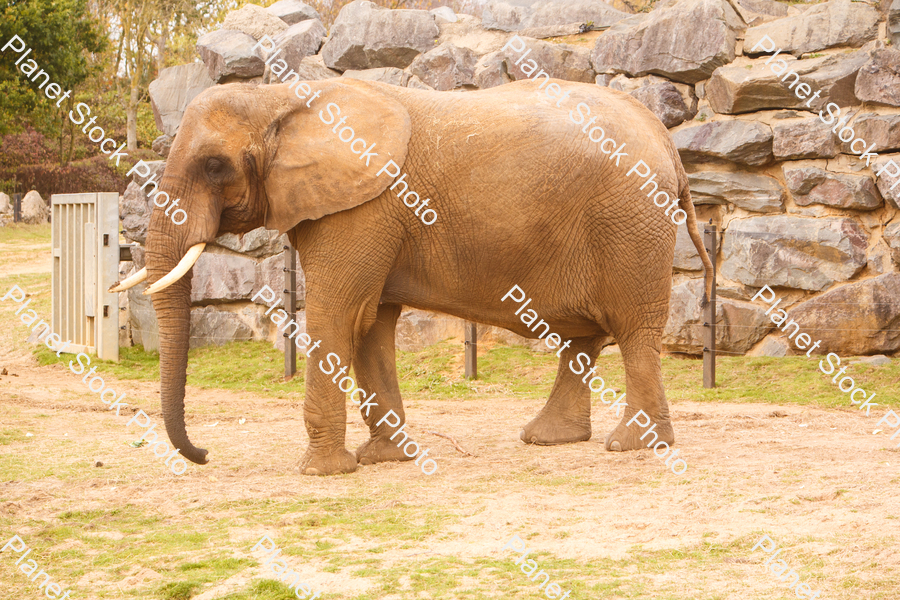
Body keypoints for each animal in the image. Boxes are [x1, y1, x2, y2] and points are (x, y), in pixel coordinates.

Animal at [116, 77, 712, 476]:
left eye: (214, 166)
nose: (204, 454)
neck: (281, 97)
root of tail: (667, 142)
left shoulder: (362, 208)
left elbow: (337, 316)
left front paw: (323, 471)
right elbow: (371, 323)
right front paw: (385, 459)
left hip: (630, 223)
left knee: (633, 331)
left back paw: (633, 446)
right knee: (582, 338)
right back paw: (549, 439)